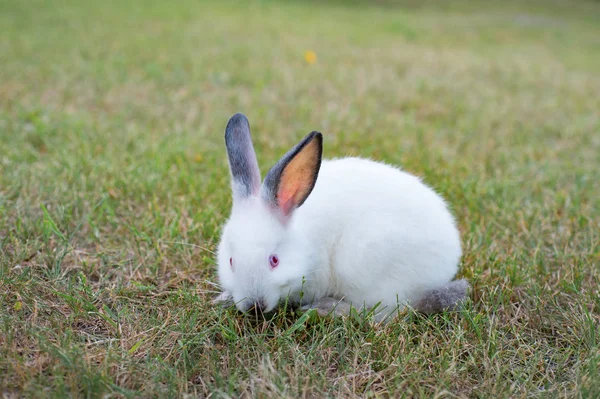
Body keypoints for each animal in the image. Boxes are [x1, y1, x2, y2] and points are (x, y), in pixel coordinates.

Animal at [213, 112, 472, 322]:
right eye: (231, 261)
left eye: (274, 260)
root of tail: (450, 257)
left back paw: (326, 309)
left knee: (385, 313)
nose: (254, 306)